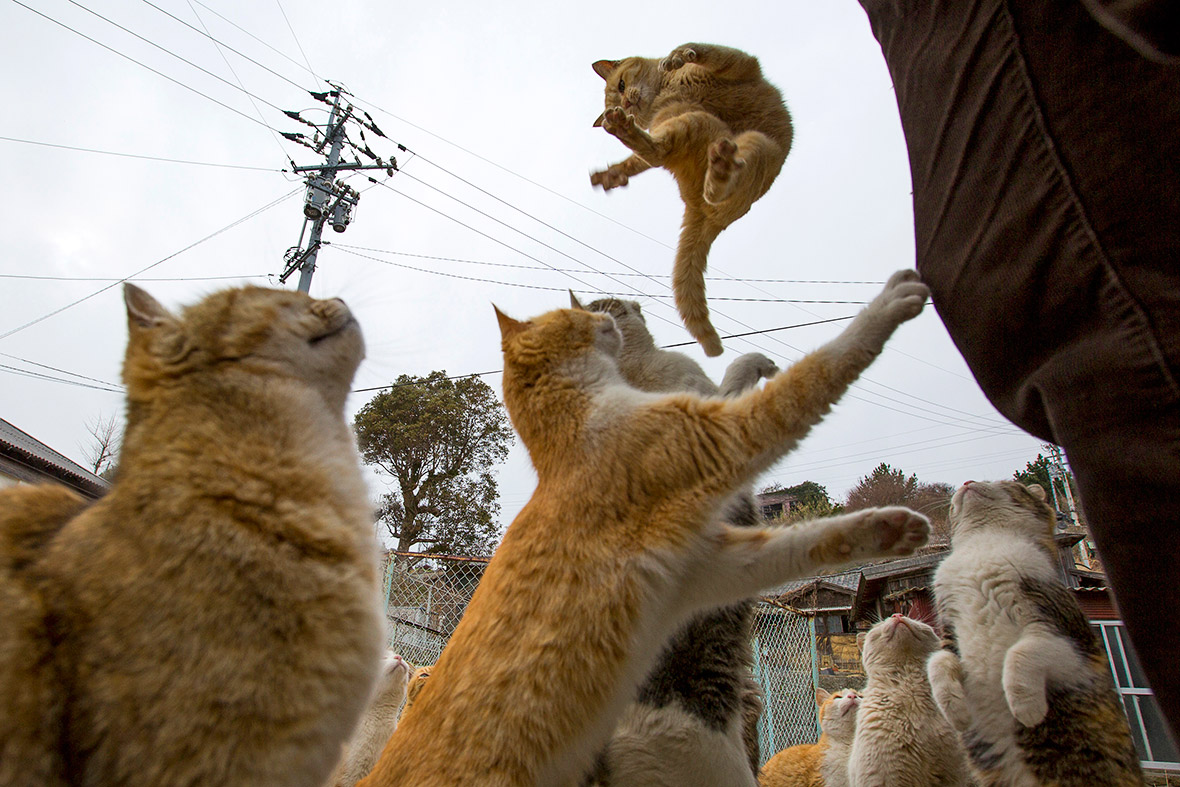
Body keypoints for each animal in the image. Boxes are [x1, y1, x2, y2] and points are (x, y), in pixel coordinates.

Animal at [590, 44, 792, 358]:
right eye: (620, 95)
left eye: (621, 86)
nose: (626, 105)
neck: (665, 89)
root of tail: (696, 205)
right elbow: (707, 50)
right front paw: (677, 59)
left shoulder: (741, 64)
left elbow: (699, 49)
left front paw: (676, 58)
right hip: (704, 125)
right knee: (668, 158)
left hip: (735, 138)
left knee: (663, 157)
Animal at [929, 481, 1142, 787]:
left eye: (1002, 483)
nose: (967, 482)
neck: (984, 545)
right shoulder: (948, 632)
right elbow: (937, 663)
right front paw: (955, 712)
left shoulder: (1065, 635)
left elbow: (1022, 653)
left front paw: (1026, 710)